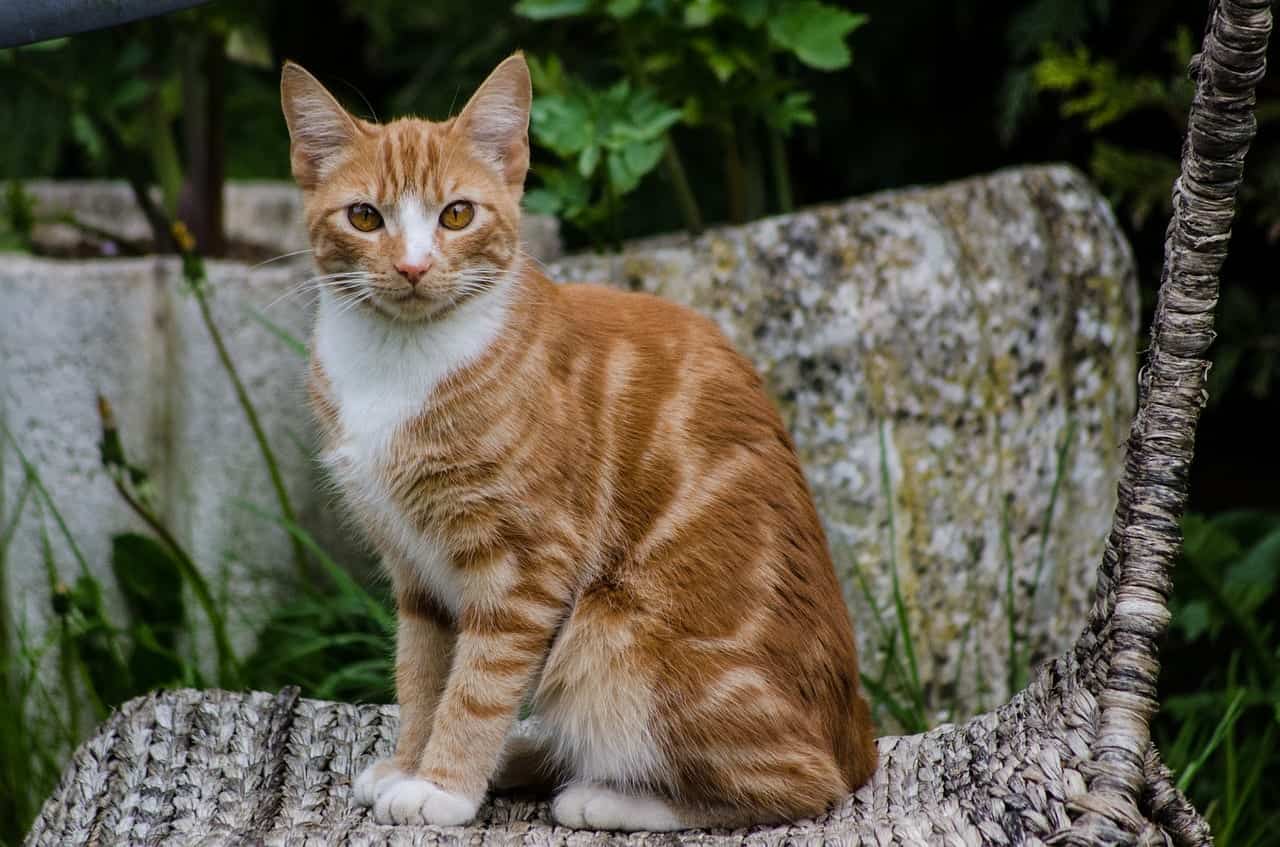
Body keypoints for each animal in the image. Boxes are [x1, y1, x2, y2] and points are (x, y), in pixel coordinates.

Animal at [280, 54, 880, 834]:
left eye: (456, 214)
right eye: (364, 216)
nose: (412, 268)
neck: (398, 361)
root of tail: (855, 734)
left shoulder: (526, 563)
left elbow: (478, 684)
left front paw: (442, 786)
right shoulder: (415, 572)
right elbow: (421, 675)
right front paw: (411, 761)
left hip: (609, 636)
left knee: (797, 785)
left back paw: (605, 794)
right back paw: (527, 757)